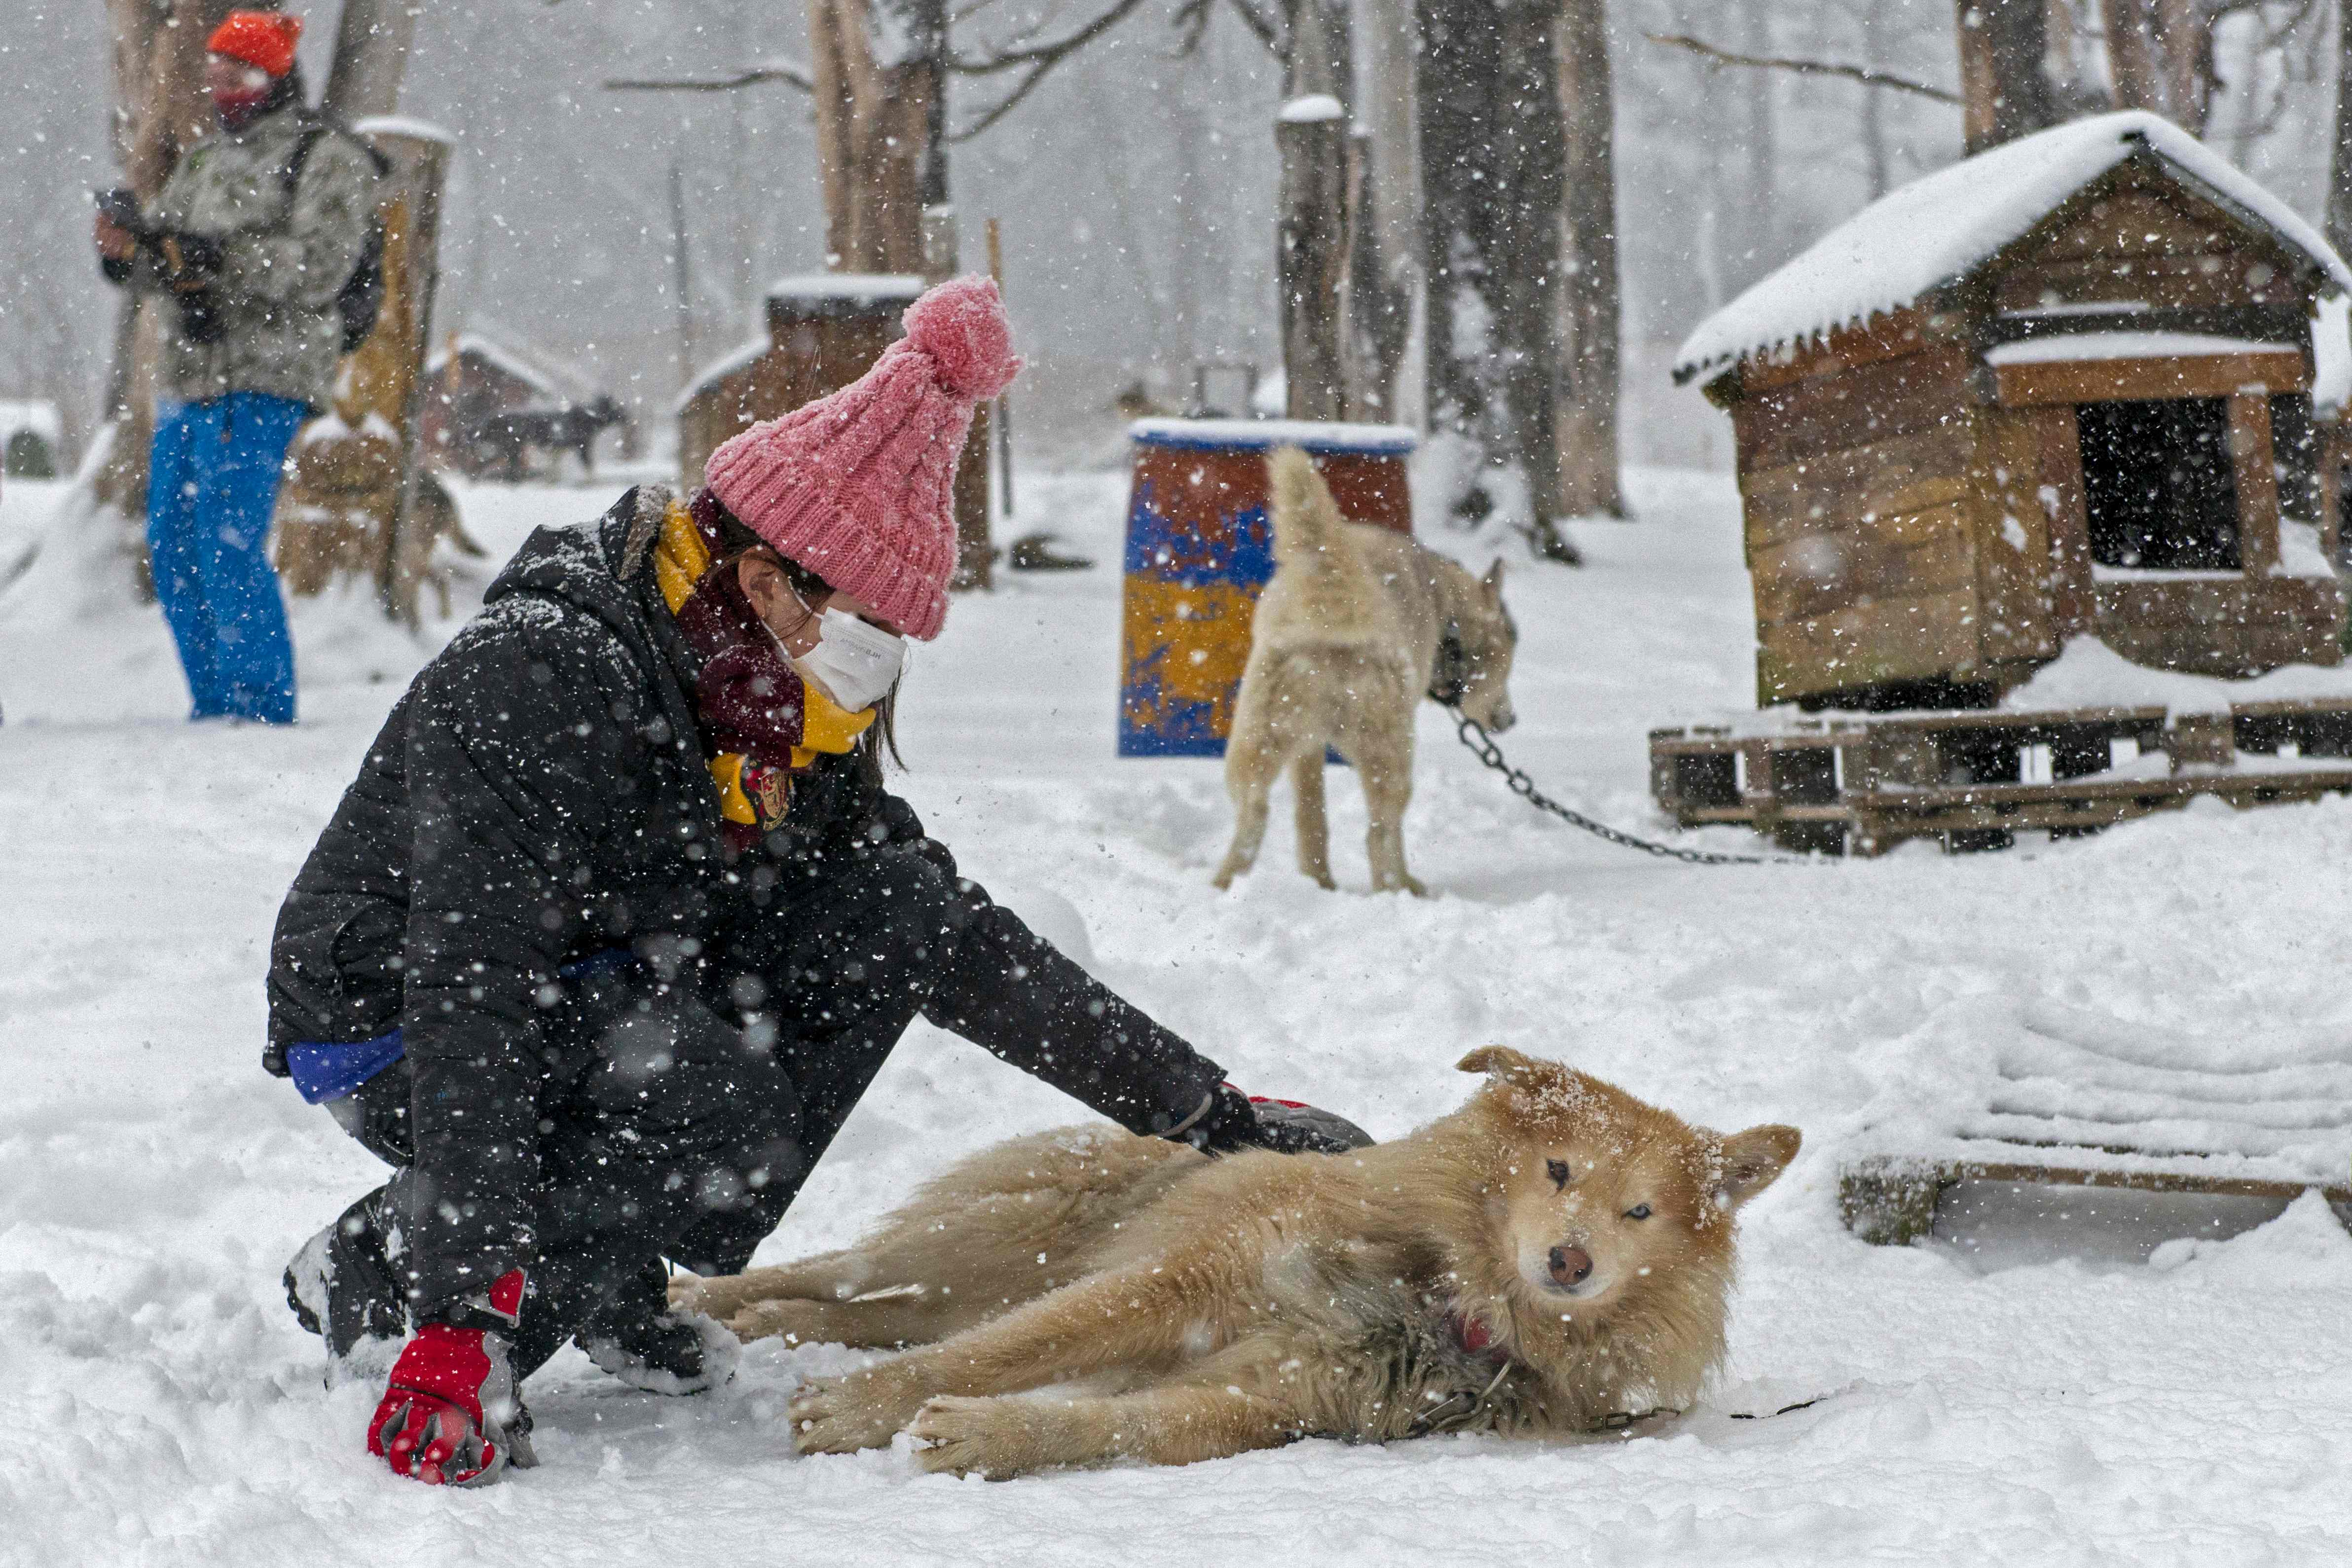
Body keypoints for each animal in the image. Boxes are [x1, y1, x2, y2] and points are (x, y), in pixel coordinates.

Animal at [682, 1048, 1797, 1476]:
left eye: (1638, 1209)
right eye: (1558, 1168)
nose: (1569, 1259)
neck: (1442, 1290)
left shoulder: (1276, 1397)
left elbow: (1120, 1423)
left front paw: (991, 1434)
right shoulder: (1178, 1282)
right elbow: (1000, 1352)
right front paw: (862, 1408)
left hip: (972, 1275)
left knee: (865, 1310)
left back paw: (745, 1332)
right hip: (988, 1243)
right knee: (844, 1270)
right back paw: (697, 1295)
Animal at [1213, 451, 1524, 893]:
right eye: (1509, 661)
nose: (1510, 719)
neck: (1443, 609)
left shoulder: (1307, 750)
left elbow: (1312, 819)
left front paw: (1319, 880)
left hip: (1258, 743)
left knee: (1253, 818)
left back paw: (1234, 885)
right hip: (1390, 752)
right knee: (1380, 831)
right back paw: (1397, 891)